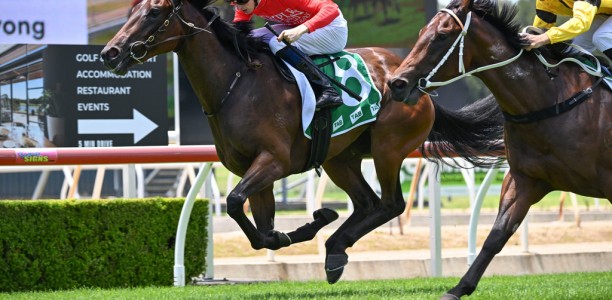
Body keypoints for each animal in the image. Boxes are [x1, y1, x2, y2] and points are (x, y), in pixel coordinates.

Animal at [100, 0, 502, 284]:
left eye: (154, 12)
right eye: (131, 10)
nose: (110, 52)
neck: (237, 85)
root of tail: (415, 83)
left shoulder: (273, 161)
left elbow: (234, 203)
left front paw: (306, 225)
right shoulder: (252, 169)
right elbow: (258, 229)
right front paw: (302, 227)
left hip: (387, 148)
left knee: (390, 203)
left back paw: (335, 245)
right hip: (342, 157)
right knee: (367, 202)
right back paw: (335, 249)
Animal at [390, 0, 608, 298]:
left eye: (442, 36)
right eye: (422, 31)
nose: (397, 83)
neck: (549, 98)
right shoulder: (525, 179)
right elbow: (498, 233)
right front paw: (459, 287)